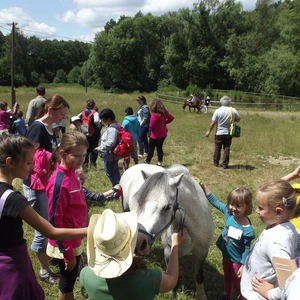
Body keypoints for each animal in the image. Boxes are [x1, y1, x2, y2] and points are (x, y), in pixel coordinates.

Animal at [119, 164, 213, 300]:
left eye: (167, 207)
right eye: (138, 201)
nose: (138, 243)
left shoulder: (201, 252)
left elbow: (199, 277)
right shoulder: (169, 253)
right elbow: (174, 283)